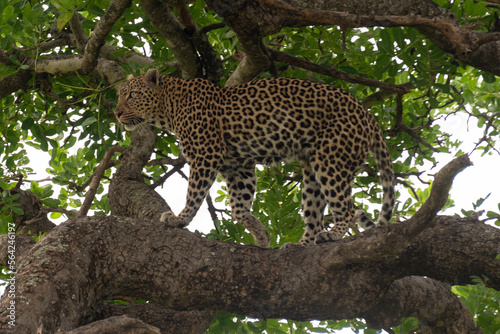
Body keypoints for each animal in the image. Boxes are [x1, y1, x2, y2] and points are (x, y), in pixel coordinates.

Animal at [113, 68, 394, 248]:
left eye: (132, 95)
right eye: (120, 95)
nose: (116, 113)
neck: (168, 109)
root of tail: (368, 114)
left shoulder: (206, 154)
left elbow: (194, 193)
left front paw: (180, 219)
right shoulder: (238, 165)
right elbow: (238, 207)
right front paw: (261, 236)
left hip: (331, 161)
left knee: (348, 208)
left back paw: (332, 235)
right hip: (312, 171)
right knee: (314, 213)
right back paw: (301, 244)